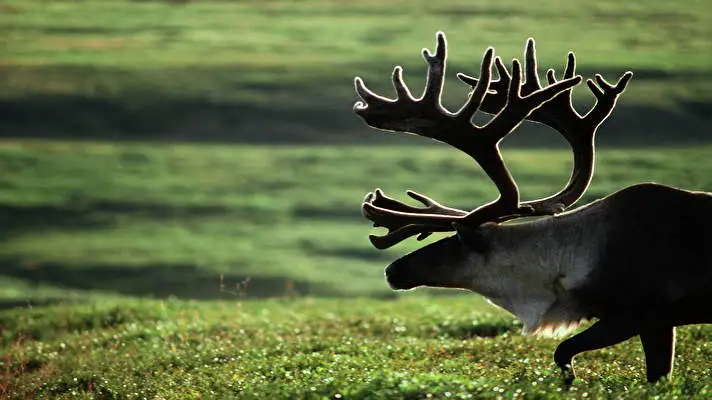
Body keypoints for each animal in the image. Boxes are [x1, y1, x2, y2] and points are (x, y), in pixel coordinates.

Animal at [353, 32, 712, 384]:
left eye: (451, 244)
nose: (392, 270)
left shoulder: (642, 312)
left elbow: (565, 352)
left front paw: (569, 380)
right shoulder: (658, 321)